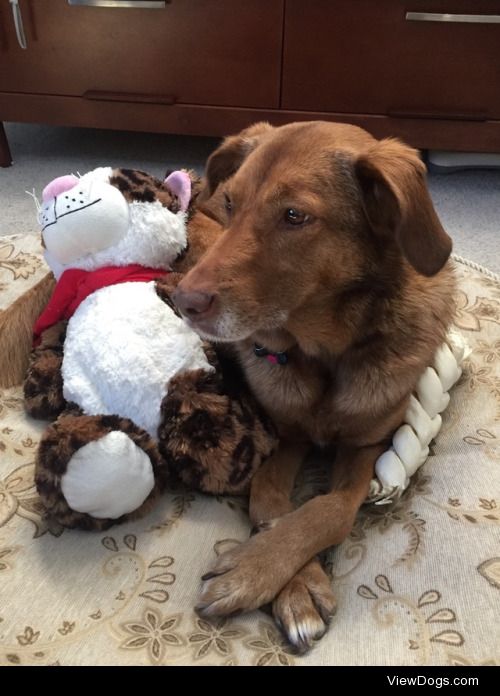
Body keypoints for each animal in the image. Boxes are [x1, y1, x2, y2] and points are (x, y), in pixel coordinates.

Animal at [173, 121, 458, 652]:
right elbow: (268, 500)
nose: (184, 303)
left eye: (294, 216)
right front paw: (289, 581)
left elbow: (328, 510)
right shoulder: (284, 436)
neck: (325, 353)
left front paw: (255, 567)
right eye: (231, 203)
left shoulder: (366, 446)